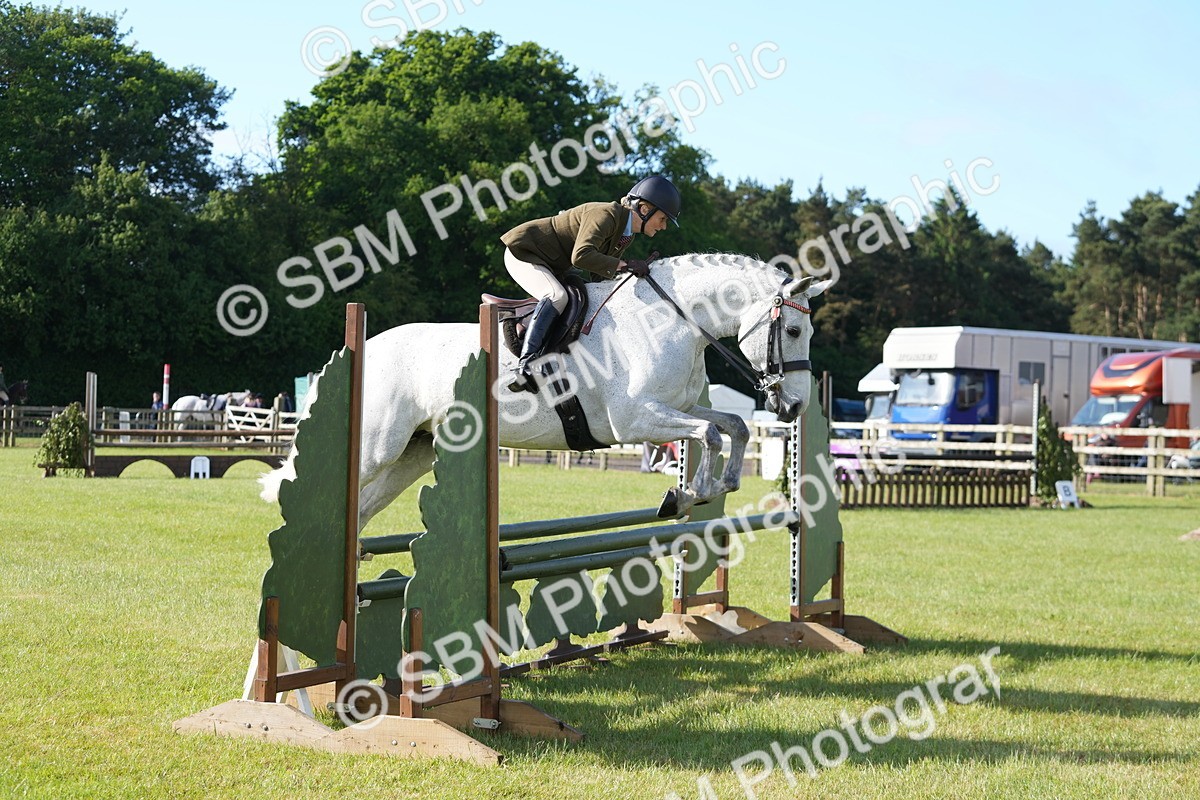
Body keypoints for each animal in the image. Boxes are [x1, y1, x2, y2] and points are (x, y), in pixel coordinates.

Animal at [260, 253, 830, 529]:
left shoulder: (679, 406)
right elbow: (709, 434)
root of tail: (361, 352)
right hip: (377, 447)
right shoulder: (635, 419)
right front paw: (690, 493)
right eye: (794, 330)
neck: (671, 318)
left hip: (412, 454)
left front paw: (719, 485)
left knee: (358, 511)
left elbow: (732, 426)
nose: (795, 405)